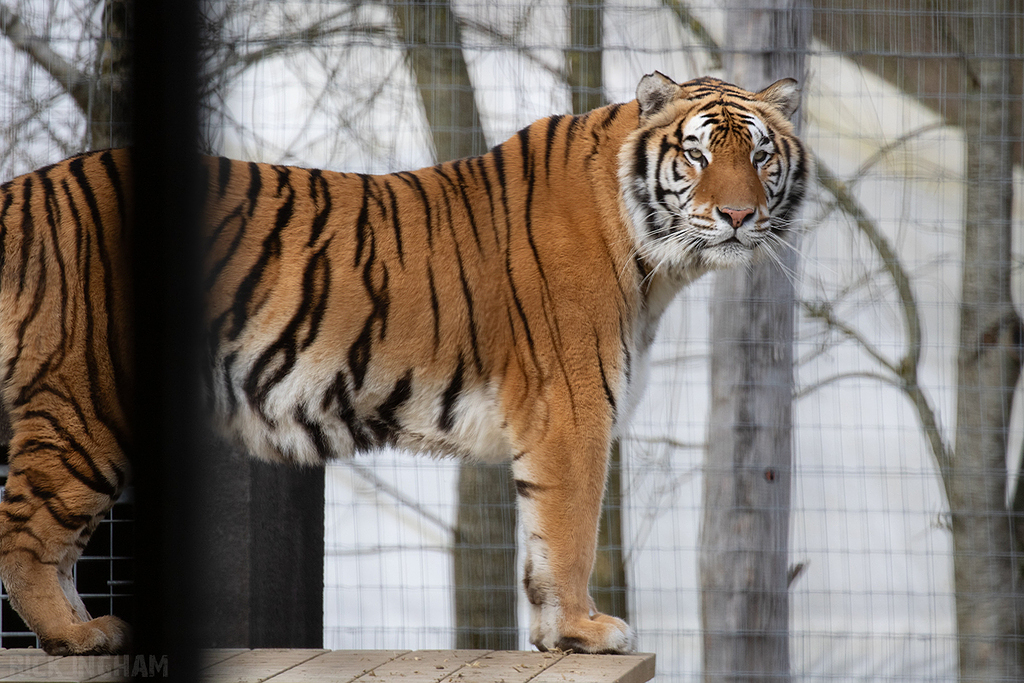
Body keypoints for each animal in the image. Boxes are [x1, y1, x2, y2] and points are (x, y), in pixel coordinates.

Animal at [0, 73, 807, 655]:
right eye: (698, 155)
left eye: (760, 154)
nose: (738, 216)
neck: (658, 263)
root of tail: (22, 190)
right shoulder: (574, 406)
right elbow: (570, 529)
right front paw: (586, 630)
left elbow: (541, 543)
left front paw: (558, 635)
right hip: (84, 401)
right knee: (28, 533)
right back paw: (76, 635)